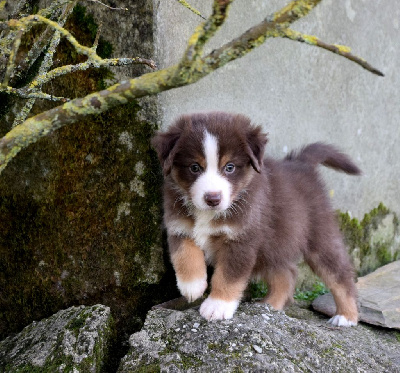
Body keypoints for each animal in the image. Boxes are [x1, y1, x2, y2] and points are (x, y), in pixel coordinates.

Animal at [152, 111, 360, 326]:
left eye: (229, 167)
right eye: (194, 167)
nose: (213, 199)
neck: (209, 214)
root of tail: (300, 163)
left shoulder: (241, 240)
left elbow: (228, 276)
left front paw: (217, 305)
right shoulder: (178, 227)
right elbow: (184, 254)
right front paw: (192, 286)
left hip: (319, 239)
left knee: (340, 277)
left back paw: (346, 316)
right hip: (273, 247)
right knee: (286, 274)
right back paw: (269, 306)